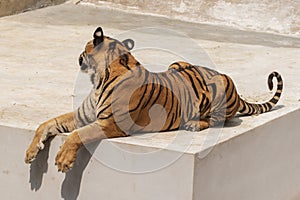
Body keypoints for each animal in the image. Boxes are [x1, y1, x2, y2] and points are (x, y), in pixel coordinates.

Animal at [24, 27, 284, 173]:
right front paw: (30, 152)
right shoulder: (81, 116)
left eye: (85, 46)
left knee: (217, 120)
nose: (78, 56)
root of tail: (237, 92)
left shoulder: (110, 124)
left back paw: (192, 123)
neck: (99, 77)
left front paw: (63, 160)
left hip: (219, 86)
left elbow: (78, 135)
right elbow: (45, 123)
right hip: (177, 63)